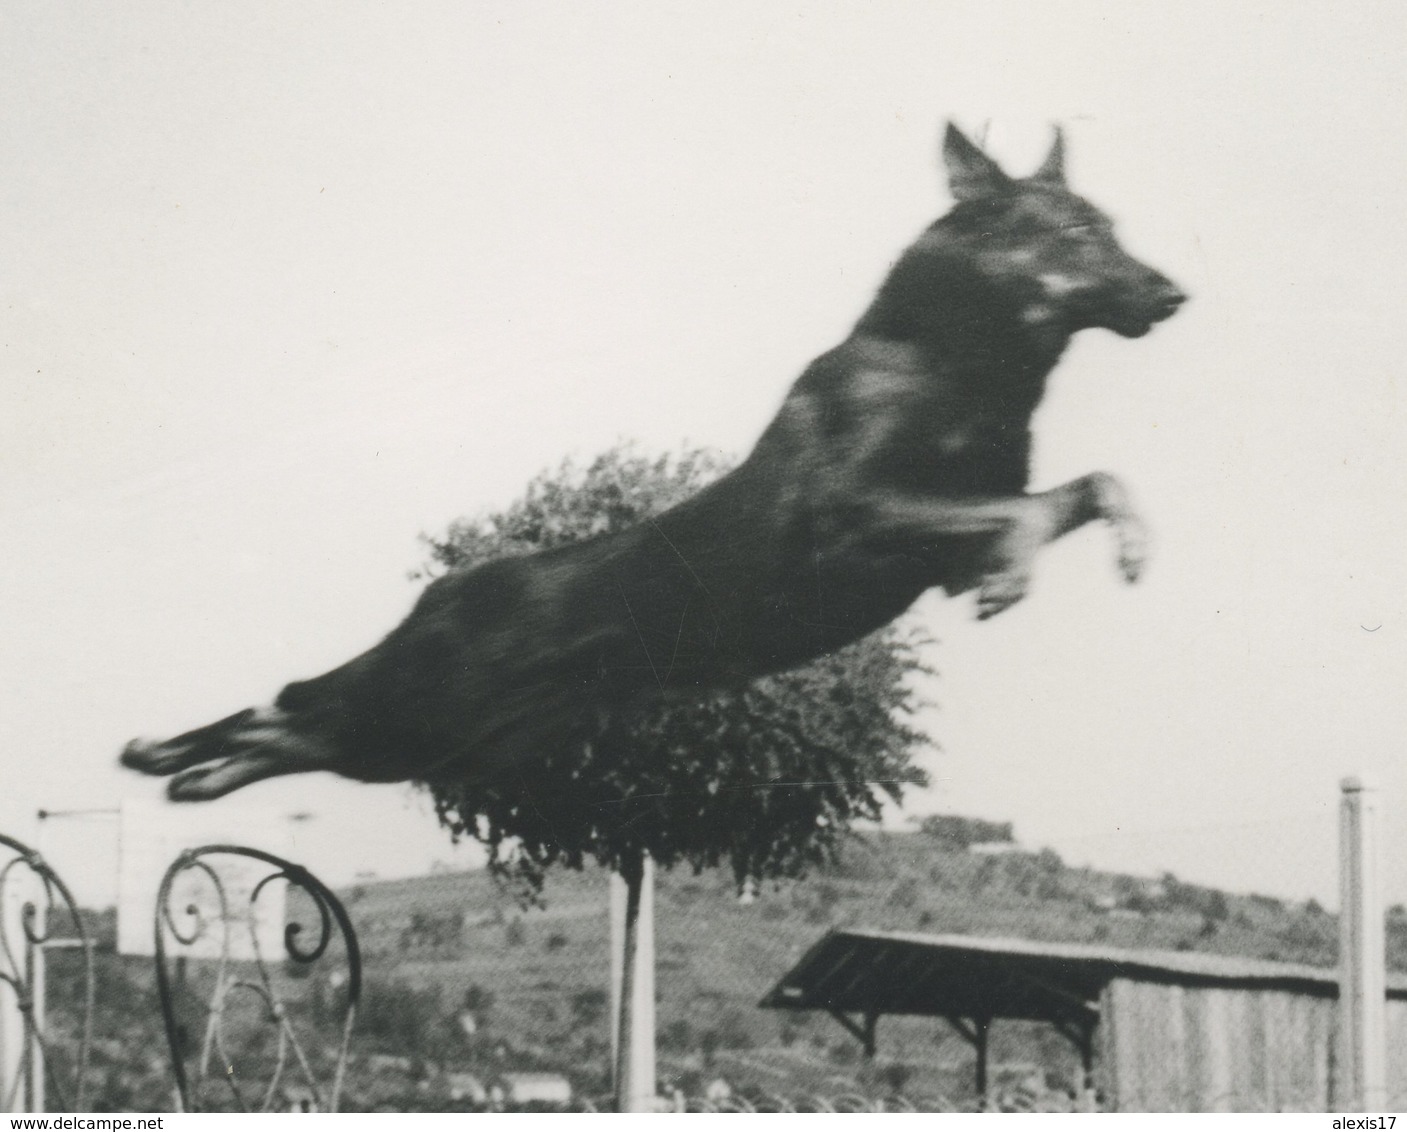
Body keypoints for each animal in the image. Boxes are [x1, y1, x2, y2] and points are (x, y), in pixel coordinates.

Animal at [123, 123, 1187, 798]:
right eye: (1082, 232)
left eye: (1112, 229)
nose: (1176, 295)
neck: (950, 365)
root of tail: (444, 595)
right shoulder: (849, 519)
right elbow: (1017, 514)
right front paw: (1016, 577)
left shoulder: (946, 539)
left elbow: (1088, 486)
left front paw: (1131, 546)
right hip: (425, 710)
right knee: (293, 707)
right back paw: (169, 757)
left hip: (455, 744)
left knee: (295, 726)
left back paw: (190, 776)